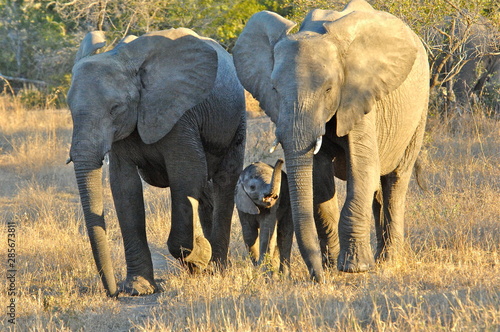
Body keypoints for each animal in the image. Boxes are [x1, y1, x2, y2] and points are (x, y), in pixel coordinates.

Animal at [66, 27, 246, 296]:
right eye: (69, 107)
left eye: (115, 108)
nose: (113, 292)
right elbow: (124, 186)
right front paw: (138, 288)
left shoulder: (180, 115)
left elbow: (186, 172)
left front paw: (200, 257)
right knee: (205, 190)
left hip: (236, 120)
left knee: (224, 180)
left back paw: (217, 267)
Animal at [232, 0, 428, 282]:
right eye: (274, 90)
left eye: (328, 89)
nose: (317, 278)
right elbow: (319, 181)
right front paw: (331, 266)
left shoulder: (360, 96)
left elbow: (362, 169)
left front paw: (354, 268)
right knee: (379, 192)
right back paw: (379, 259)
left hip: (419, 111)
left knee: (395, 181)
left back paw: (388, 263)